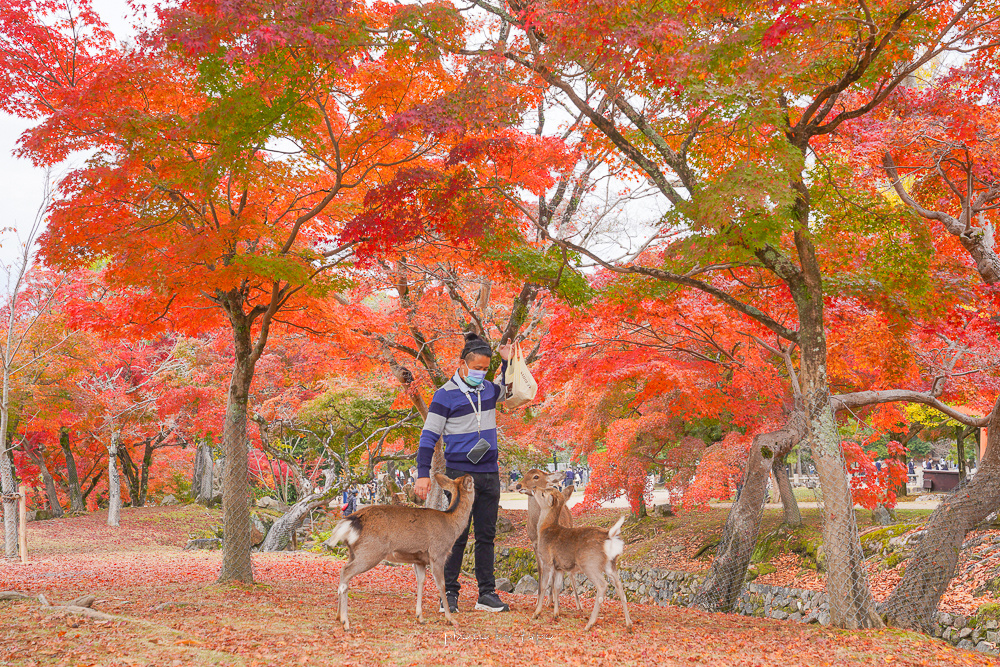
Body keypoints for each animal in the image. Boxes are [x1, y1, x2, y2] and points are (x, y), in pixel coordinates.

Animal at [325, 473, 475, 630]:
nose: (470, 475)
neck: (451, 525)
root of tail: (350, 522)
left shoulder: (419, 559)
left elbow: (420, 581)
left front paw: (420, 617)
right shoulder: (437, 553)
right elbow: (441, 584)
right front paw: (450, 619)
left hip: (353, 552)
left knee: (343, 570)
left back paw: (338, 616)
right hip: (370, 552)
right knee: (346, 571)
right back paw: (345, 621)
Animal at [515, 468, 582, 610]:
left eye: (536, 476)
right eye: (524, 475)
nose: (519, 486)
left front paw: (552, 601)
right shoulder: (535, 545)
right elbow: (541, 570)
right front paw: (538, 601)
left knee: (569, 571)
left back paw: (577, 604)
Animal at [530, 486, 632, 632]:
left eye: (543, 493)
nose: (534, 488)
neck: (545, 529)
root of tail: (609, 536)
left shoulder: (547, 560)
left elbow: (543, 586)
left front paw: (536, 613)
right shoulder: (560, 567)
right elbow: (556, 588)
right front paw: (556, 614)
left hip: (590, 563)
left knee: (602, 585)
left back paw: (589, 624)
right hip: (610, 565)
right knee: (620, 587)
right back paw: (629, 624)